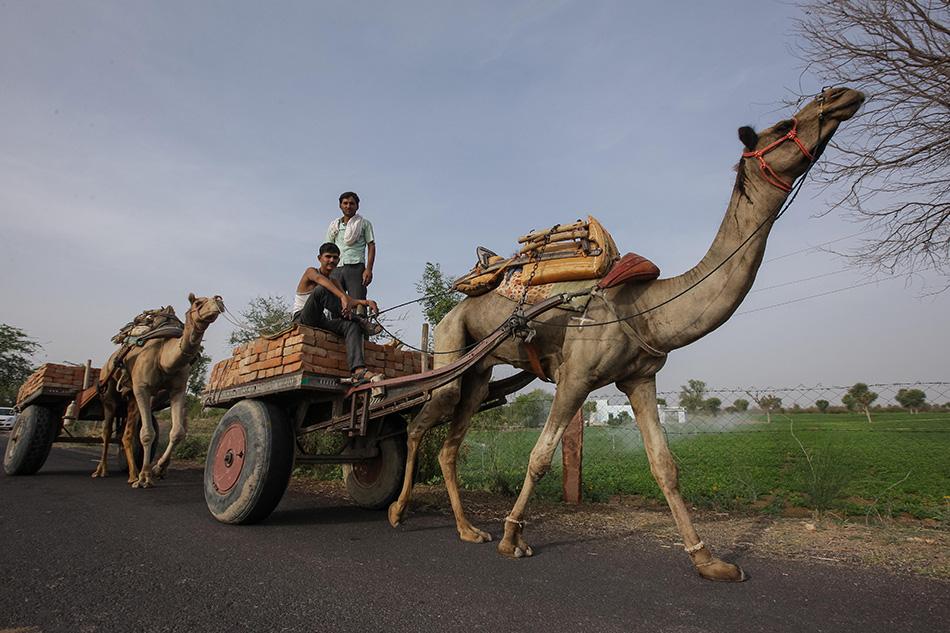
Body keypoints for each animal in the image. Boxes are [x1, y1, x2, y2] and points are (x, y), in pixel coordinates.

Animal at [93, 294, 227, 486]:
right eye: (198, 302)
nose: (218, 301)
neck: (164, 357)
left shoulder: (177, 390)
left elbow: (177, 432)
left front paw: (157, 469)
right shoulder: (142, 388)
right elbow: (147, 433)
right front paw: (144, 477)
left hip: (130, 397)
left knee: (126, 434)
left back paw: (132, 474)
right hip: (108, 390)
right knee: (106, 430)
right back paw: (103, 471)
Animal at [388, 86, 872, 580]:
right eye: (781, 126)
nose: (840, 96)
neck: (646, 309)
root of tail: (453, 308)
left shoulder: (640, 378)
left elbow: (665, 465)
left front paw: (709, 561)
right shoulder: (576, 376)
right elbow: (540, 456)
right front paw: (512, 538)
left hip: (479, 370)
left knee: (450, 443)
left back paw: (467, 529)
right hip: (451, 344)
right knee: (420, 421)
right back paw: (398, 512)